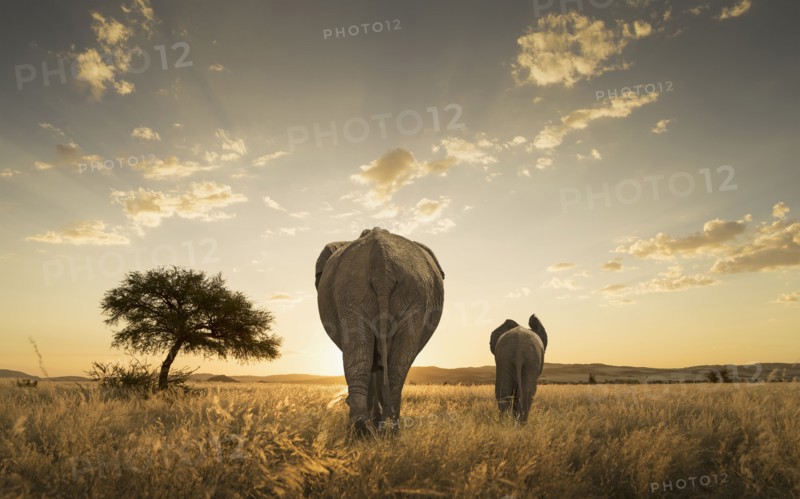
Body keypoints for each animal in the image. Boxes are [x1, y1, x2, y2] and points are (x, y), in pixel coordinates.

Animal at [315, 227, 445, 436]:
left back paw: (368, 430)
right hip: (388, 291)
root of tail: (382, 265)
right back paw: (382, 430)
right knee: (388, 362)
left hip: (367, 290)